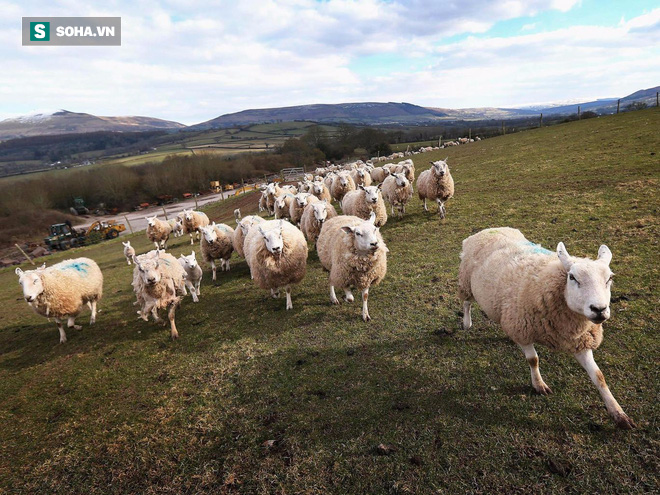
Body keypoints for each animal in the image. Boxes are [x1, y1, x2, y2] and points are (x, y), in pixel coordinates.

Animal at [456, 229, 636, 430]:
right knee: (466, 302)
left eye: (610, 278)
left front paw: (618, 413)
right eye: (572, 277)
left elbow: (599, 376)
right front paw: (539, 385)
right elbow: (533, 360)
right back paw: (466, 323)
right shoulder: (523, 329)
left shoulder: (580, 341)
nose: (599, 309)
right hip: (466, 282)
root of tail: (489, 229)